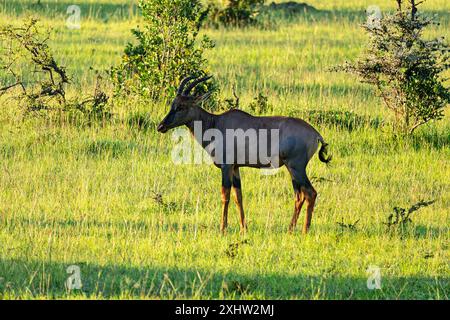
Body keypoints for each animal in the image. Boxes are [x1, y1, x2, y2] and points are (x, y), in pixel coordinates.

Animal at [157, 75, 330, 235]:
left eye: (182, 106)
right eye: (172, 104)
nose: (161, 126)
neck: (216, 123)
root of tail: (316, 134)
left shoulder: (226, 167)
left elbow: (225, 195)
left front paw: (223, 229)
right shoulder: (235, 167)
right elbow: (238, 196)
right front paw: (243, 228)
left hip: (296, 167)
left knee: (310, 193)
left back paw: (304, 231)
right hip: (292, 169)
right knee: (299, 196)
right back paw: (290, 230)